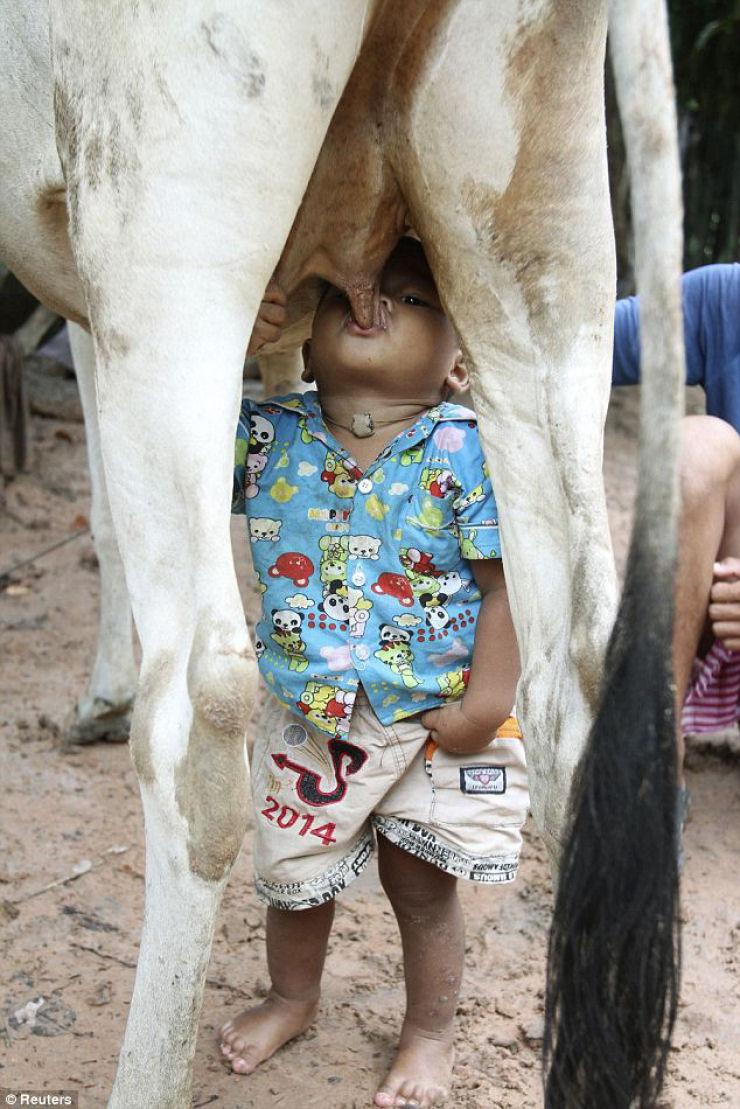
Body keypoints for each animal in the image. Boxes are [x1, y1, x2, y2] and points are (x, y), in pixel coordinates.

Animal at [0, 2, 687, 1109]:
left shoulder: (91, 289)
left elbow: (102, 508)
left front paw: (98, 695)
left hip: (165, 218)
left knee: (202, 709)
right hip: (539, 235)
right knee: (573, 676)